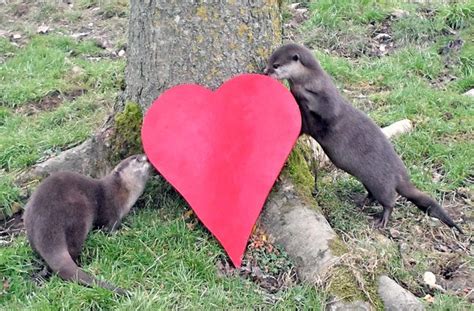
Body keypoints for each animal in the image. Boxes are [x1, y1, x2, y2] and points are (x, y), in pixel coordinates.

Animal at [23, 155, 152, 296]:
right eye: (136, 159)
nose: (147, 158)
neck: (121, 191)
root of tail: (46, 227)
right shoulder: (112, 209)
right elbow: (109, 228)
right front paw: (121, 232)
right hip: (79, 216)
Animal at [264, 44, 464, 234]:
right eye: (269, 61)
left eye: (276, 65)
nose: (265, 71)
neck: (313, 82)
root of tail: (400, 175)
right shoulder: (308, 121)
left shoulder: (328, 104)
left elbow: (323, 111)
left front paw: (301, 93)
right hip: (370, 181)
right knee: (374, 195)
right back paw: (361, 201)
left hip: (380, 182)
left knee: (390, 200)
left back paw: (383, 218)